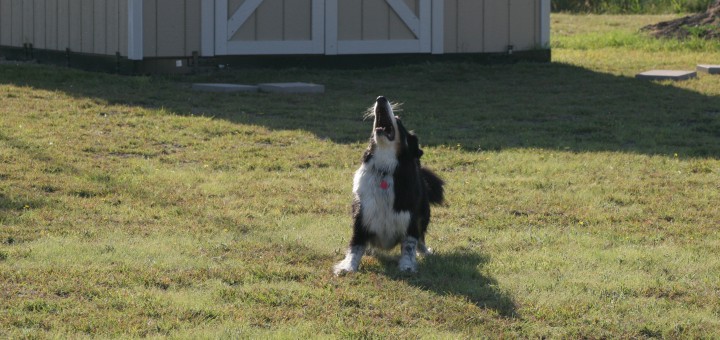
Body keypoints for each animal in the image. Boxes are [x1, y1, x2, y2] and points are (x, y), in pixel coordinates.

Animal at [334, 95, 444, 274]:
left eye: (398, 120)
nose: (381, 98)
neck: (384, 169)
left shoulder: (410, 219)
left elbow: (409, 245)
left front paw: (407, 266)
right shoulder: (361, 216)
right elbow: (355, 246)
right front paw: (347, 266)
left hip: (424, 213)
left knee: (421, 238)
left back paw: (425, 252)